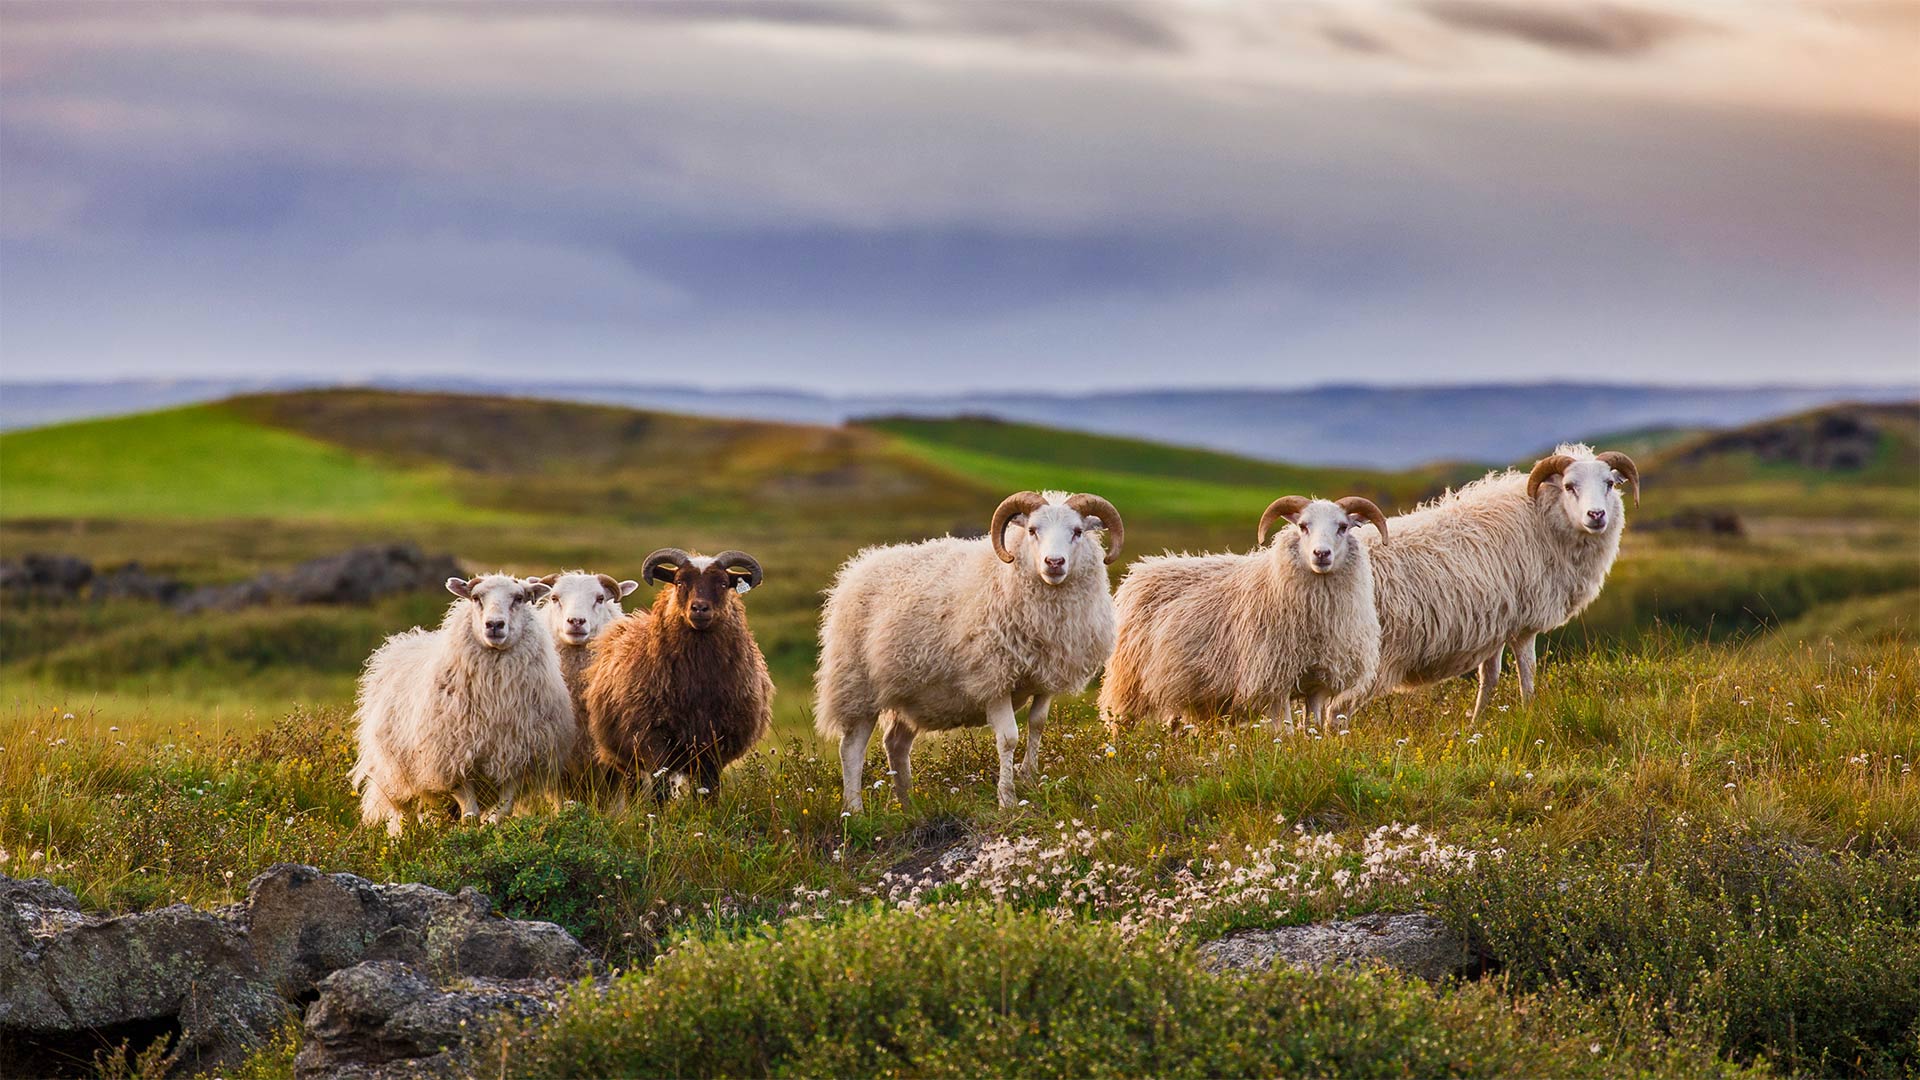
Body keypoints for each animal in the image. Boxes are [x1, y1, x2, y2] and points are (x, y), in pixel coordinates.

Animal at [351, 572, 576, 834]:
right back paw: (404, 838)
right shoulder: (452, 762)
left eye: (519, 598)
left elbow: (502, 811)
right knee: (403, 814)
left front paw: (489, 829)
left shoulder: (515, 760)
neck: (496, 702)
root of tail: (402, 641)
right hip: (395, 773)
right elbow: (470, 815)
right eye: (476, 598)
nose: (494, 625)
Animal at [576, 541, 771, 795]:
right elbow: (660, 790)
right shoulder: (654, 740)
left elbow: (708, 789)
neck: (698, 681)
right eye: (679, 582)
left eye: (723, 583)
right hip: (625, 758)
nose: (699, 609)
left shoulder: (714, 744)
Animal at [814, 488, 1121, 807]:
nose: (1054, 562)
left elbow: (1037, 724)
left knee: (895, 744)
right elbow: (1008, 738)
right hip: (857, 686)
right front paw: (1007, 798)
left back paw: (908, 805)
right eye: (1033, 530)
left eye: (1077, 531)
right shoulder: (993, 678)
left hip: (911, 693)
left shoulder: (1046, 676)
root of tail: (858, 566)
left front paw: (1029, 776)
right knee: (851, 749)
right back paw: (855, 809)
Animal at [1105, 491, 1390, 726]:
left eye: (1342, 527)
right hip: (1128, 679)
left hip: (1187, 689)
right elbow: (1286, 731)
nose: (1321, 554)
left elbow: (1314, 728)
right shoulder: (1272, 682)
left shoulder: (1318, 683)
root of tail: (1142, 569)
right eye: (1302, 526)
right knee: (1120, 722)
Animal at [1336, 441, 1635, 718]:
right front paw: (1530, 716)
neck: (1541, 520)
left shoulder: (1495, 625)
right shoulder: (1524, 624)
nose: (1596, 515)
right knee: (1337, 710)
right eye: (1570, 486)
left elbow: (1489, 678)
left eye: (1609, 484)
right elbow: (1527, 674)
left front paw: (1476, 724)